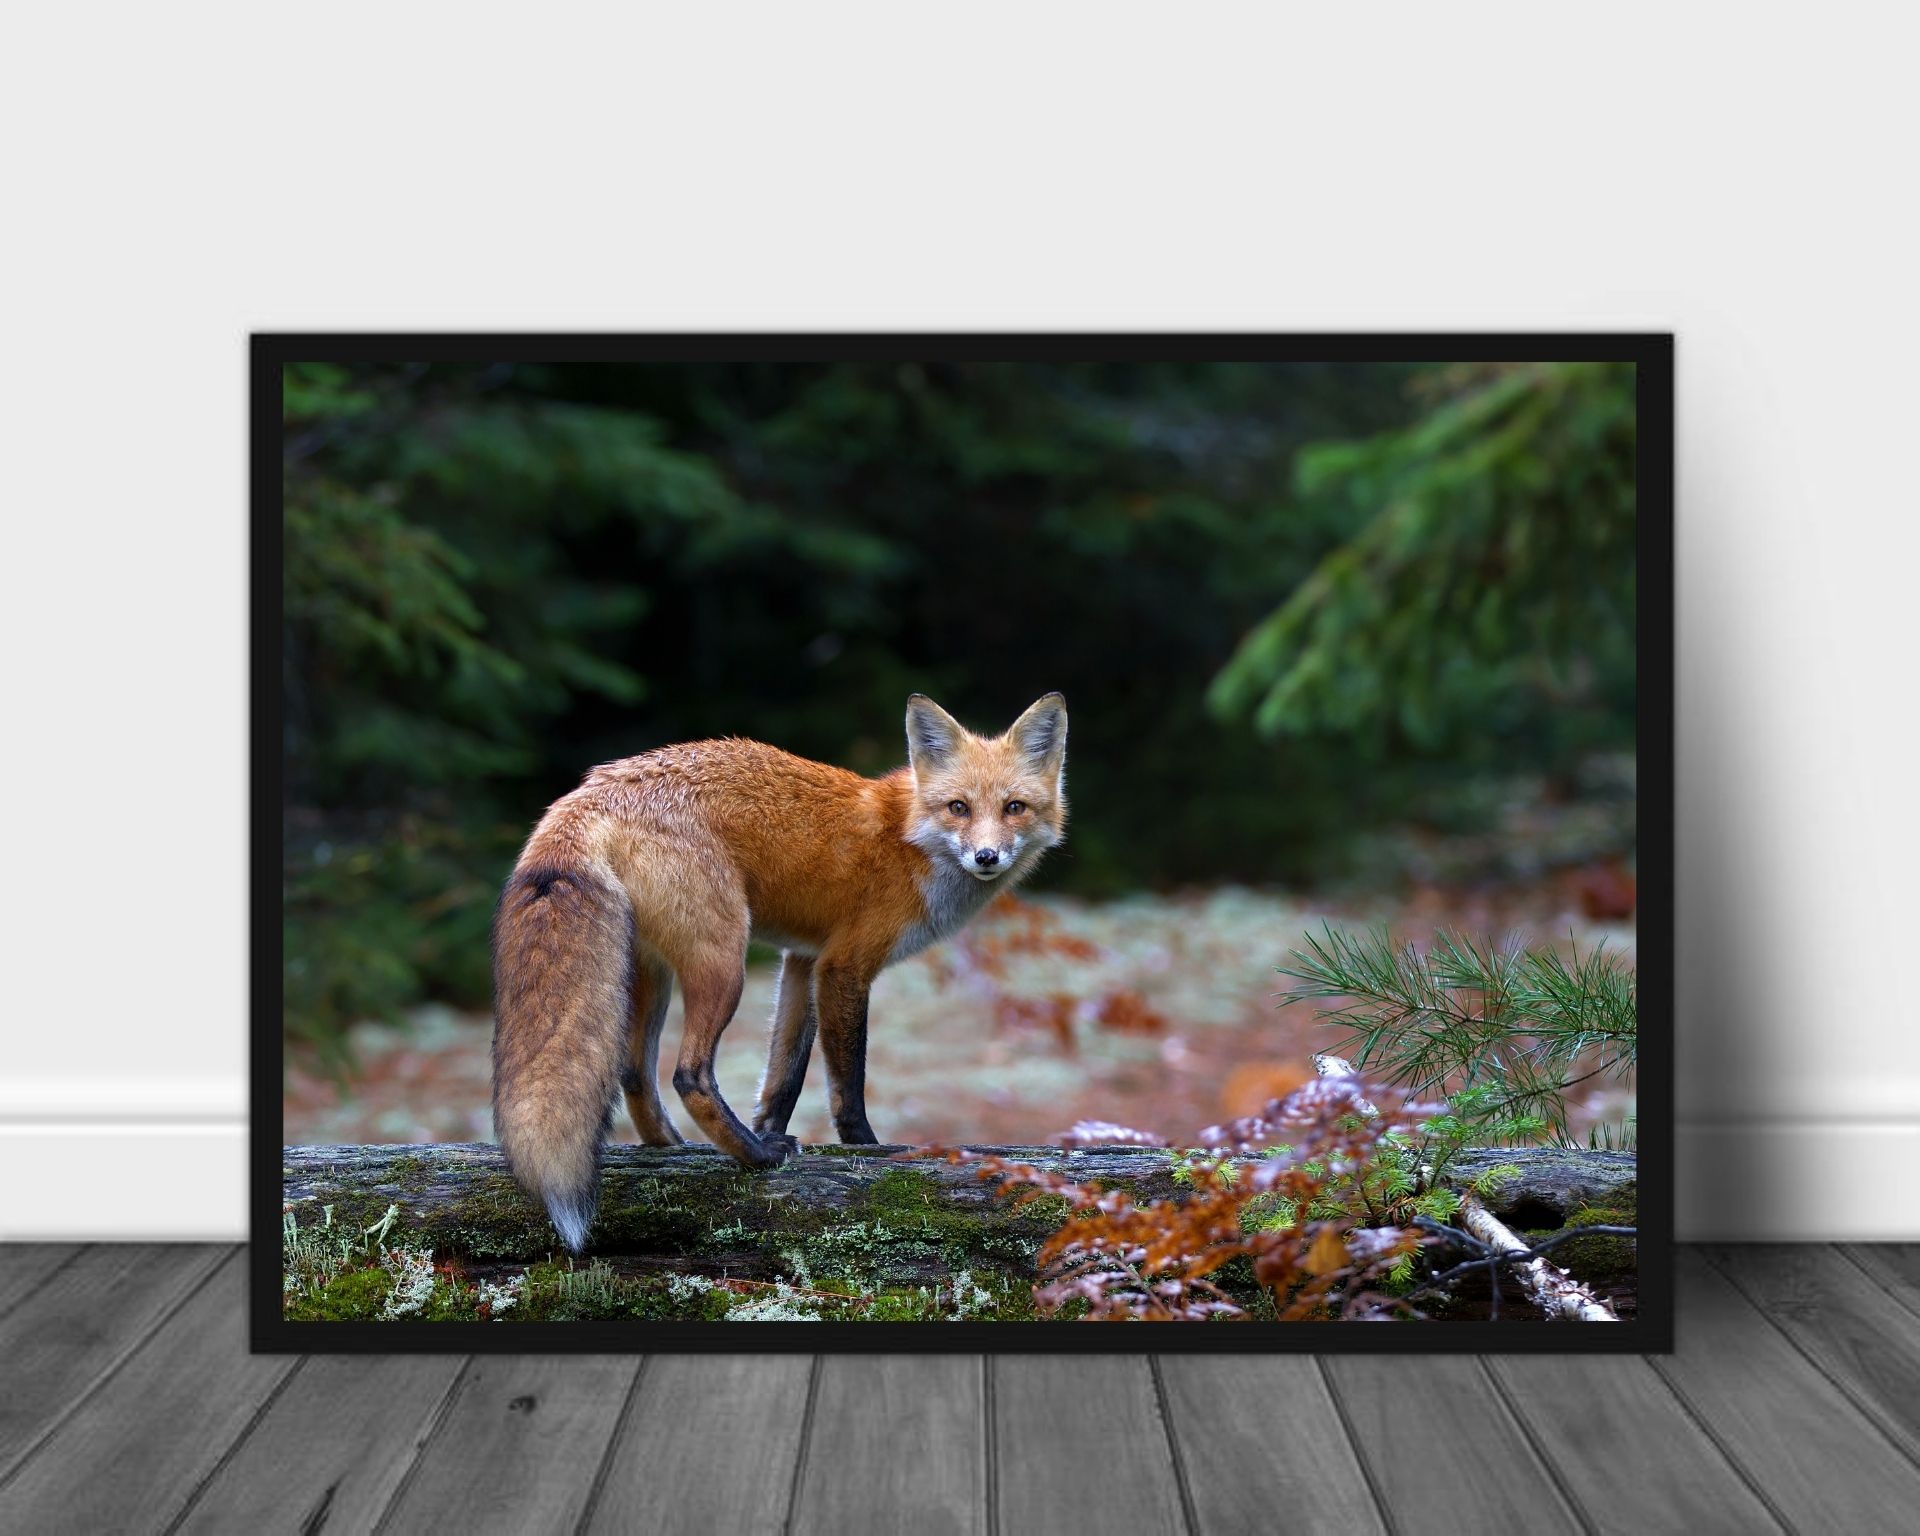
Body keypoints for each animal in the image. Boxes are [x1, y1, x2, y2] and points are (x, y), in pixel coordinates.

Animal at [491, 692, 1069, 1252]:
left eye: (1014, 808)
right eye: (959, 808)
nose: (986, 856)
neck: (908, 840)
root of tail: (591, 790)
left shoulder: (803, 961)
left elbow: (784, 1075)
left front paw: (769, 1127)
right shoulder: (843, 966)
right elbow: (847, 1083)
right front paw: (866, 1149)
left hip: (652, 973)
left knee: (635, 1074)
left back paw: (679, 1148)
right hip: (724, 961)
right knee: (688, 1074)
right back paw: (755, 1157)